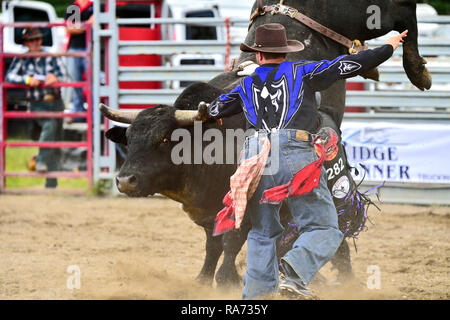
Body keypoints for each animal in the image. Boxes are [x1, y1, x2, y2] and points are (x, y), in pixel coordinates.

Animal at [103, 0, 428, 284]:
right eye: (129, 140)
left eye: (165, 138)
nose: (125, 180)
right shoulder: (209, 215)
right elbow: (213, 247)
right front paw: (204, 278)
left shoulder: (245, 209)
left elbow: (232, 244)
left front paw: (227, 280)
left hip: (363, 13)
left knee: (403, 11)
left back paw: (418, 70)